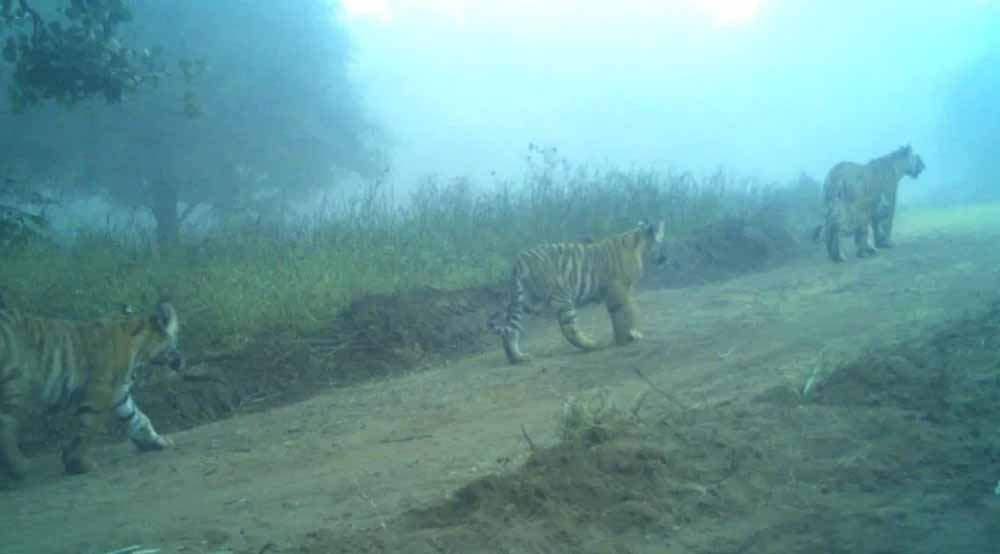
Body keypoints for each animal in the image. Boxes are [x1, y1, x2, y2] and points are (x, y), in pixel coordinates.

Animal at [0, 301, 183, 479]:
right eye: (174, 343)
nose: (181, 361)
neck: (139, 352)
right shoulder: (100, 392)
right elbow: (89, 429)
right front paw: (78, 463)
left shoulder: (119, 393)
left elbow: (136, 418)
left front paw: (157, 441)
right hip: (15, 384)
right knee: (6, 423)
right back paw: (19, 467)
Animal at [489, 220, 666, 365]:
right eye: (662, 242)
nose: (665, 258)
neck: (638, 243)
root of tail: (519, 262)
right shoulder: (619, 290)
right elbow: (626, 313)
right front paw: (629, 337)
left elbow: (620, 315)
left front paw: (627, 336)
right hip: (562, 297)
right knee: (570, 331)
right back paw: (593, 345)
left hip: (523, 302)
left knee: (511, 332)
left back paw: (518, 358)